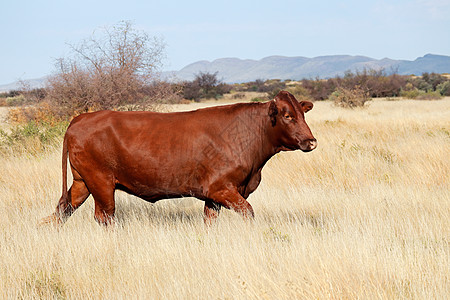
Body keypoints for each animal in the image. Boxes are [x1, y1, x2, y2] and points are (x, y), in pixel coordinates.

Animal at [41, 90, 316, 226]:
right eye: (287, 115)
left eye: (303, 113)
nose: (311, 141)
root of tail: (81, 118)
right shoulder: (222, 189)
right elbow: (249, 213)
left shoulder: (213, 197)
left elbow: (210, 222)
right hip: (101, 182)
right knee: (104, 216)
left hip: (82, 182)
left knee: (61, 211)